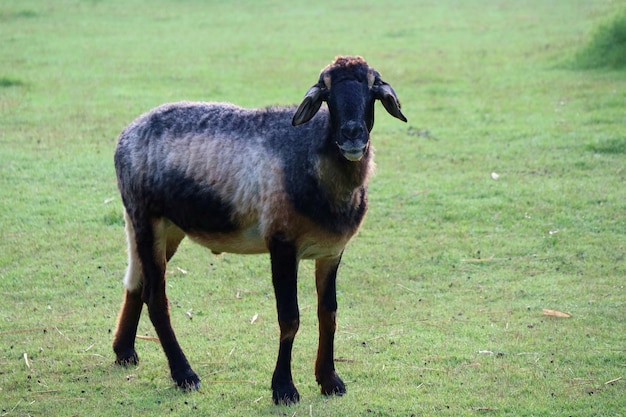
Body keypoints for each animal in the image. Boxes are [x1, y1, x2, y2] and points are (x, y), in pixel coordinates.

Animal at [111, 55, 404, 404]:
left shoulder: (331, 252)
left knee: (137, 284)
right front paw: (284, 389)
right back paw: (185, 374)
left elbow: (328, 314)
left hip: (166, 229)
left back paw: (124, 351)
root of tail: (126, 136)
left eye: (373, 90)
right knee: (156, 297)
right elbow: (289, 318)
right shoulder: (282, 244)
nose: (352, 136)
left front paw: (330, 381)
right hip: (147, 220)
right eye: (327, 93)